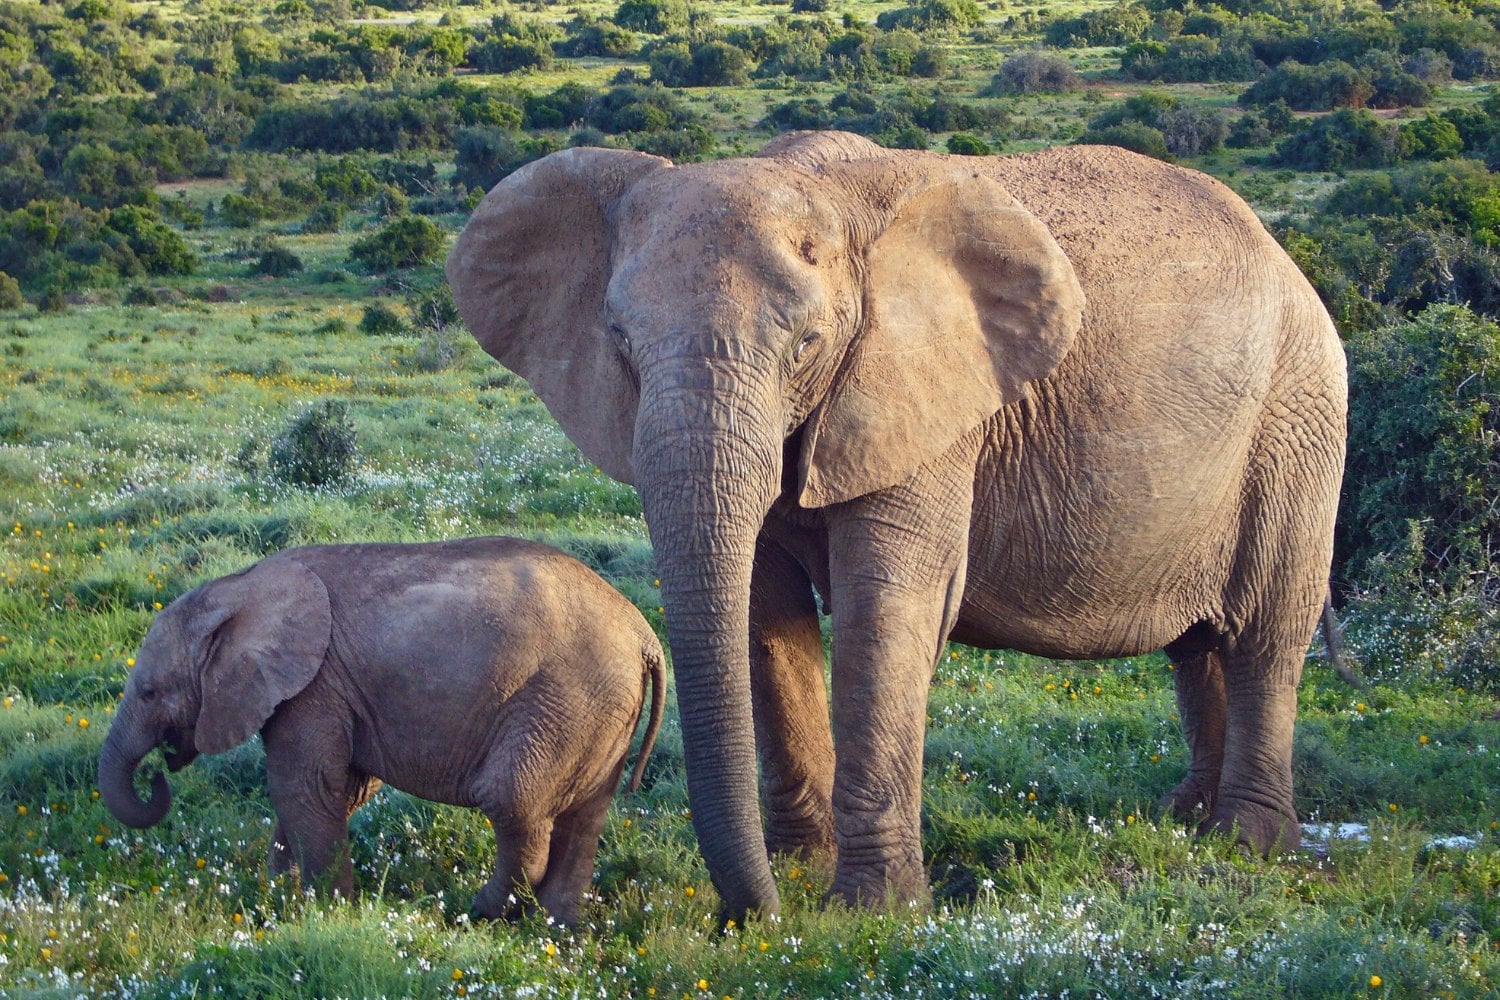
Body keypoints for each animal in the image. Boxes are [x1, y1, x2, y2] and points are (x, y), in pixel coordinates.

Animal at [98, 537, 664, 925]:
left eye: (148, 692)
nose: (158, 773)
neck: (236, 588)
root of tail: (644, 635)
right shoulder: (334, 692)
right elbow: (340, 790)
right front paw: (279, 894)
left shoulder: (313, 687)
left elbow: (304, 786)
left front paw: (323, 911)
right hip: (600, 710)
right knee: (584, 816)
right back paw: (554, 929)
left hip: (565, 698)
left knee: (513, 801)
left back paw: (476, 913)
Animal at [446, 131, 1347, 921]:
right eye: (621, 343)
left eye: (807, 344)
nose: (752, 918)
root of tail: (1283, 254)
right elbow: (764, 616)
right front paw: (803, 871)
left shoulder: (927, 400)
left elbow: (888, 609)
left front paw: (869, 911)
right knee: (1197, 645)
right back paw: (1184, 819)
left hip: (1298, 418)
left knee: (1266, 630)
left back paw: (1249, 842)